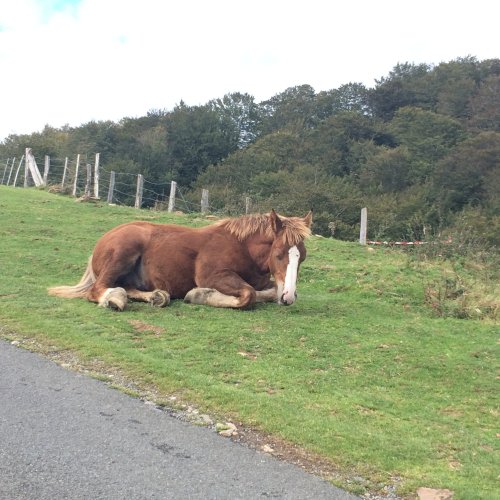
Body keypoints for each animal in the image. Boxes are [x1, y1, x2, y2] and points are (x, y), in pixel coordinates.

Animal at [47, 209, 312, 310]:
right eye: (279, 254)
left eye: (302, 258)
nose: (289, 297)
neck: (242, 247)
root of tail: (103, 240)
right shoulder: (213, 275)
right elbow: (248, 295)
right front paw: (198, 295)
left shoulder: (264, 282)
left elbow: (265, 292)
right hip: (123, 251)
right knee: (97, 290)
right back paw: (115, 300)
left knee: (126, 286)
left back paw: (157, 296)